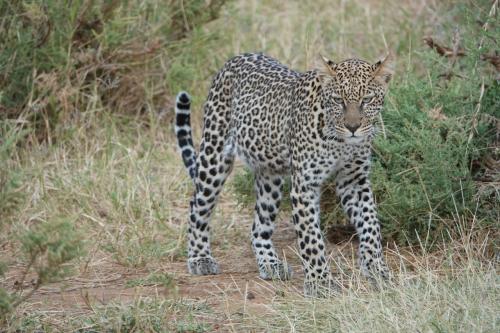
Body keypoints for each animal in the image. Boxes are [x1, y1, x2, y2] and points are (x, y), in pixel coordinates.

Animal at [174, 52, 392, 296]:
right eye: (338, 100)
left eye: (367, 99)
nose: (352, 127)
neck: (341, 142)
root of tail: (236, 58)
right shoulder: (305, 184)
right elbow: (311, 238)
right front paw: (320, 282)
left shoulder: (354, 181)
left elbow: (371, 225)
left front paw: (377, 270)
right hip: (214, 156)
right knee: (198, 206)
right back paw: (200, 258)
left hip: (270, 176)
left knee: (259, 226)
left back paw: (271, 263)